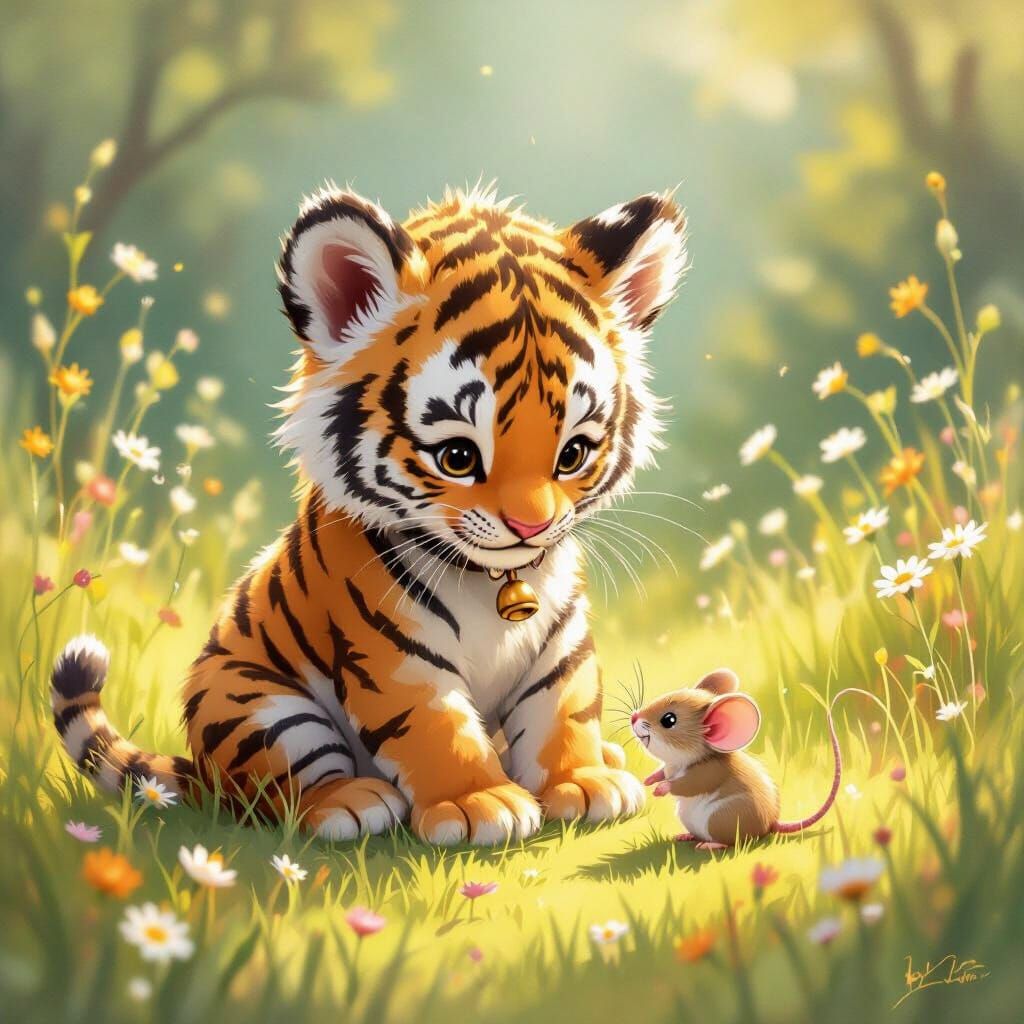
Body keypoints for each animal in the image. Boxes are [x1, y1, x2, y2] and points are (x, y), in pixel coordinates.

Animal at [51, 183, 688, 845]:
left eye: (573, 454)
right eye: (458, 457)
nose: (531, 527)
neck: (492, 581)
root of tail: (200, 770)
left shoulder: (561, 641)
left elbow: (563, 707)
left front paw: (583, 782)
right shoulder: (394, 657)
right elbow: (437, 728)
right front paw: (480, 804)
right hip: (256, 704)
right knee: (281, 791)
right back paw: (349, 802)